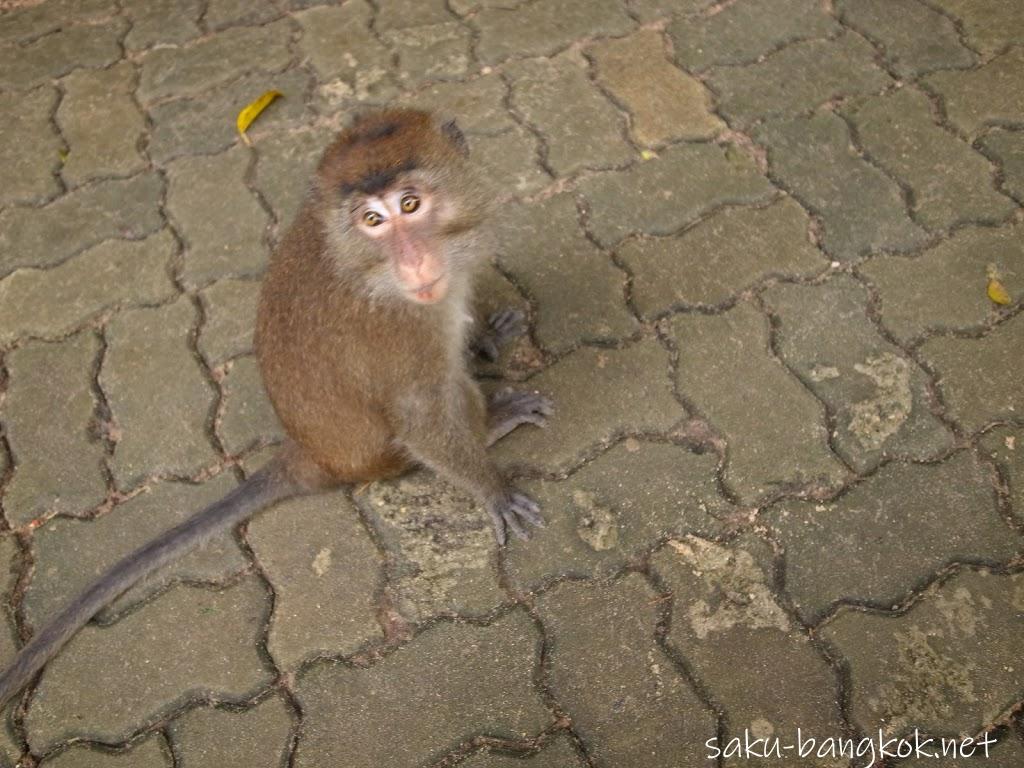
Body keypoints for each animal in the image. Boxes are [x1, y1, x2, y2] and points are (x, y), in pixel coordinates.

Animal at [0, 108, 552, 708]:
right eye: (372, 220)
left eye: (410, 204)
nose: (413, 261)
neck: (373, 269)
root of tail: (311, 455)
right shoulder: (400, 330)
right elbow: (421, 417)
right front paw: (494, 488)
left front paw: (487, 338)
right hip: (377, 456)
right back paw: (490, 422)